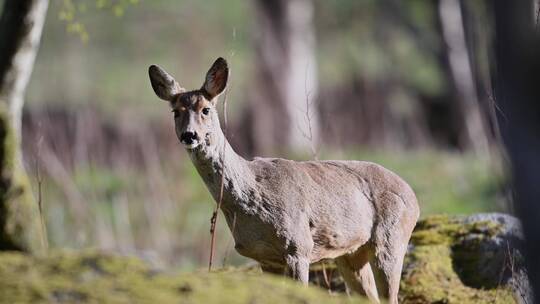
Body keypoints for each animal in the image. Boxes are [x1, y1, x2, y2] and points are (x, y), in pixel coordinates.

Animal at [149, 57, 422, 304]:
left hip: (391, 239)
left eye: (206, 109)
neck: (251, 196)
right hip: (351, 253)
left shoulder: (298, 247)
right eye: (176, 112)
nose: (189, 135)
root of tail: (412, 195)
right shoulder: (264, 257)